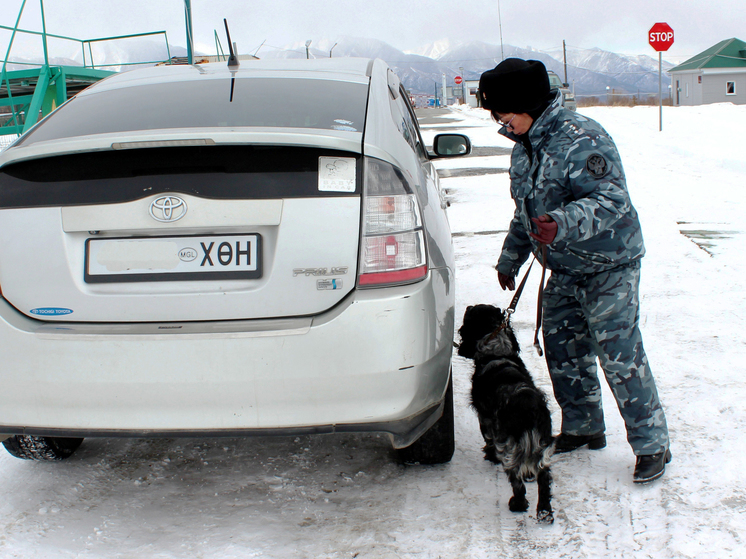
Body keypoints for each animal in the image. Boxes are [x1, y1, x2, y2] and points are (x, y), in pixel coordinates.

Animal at [454, 304, 552, 524]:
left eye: (471, 313)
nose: (468, 306)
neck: (498, 352)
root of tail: (528, 406)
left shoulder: (485, 418)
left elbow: (488, 440)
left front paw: (489, 456)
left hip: (508, 445)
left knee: (516, 480)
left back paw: (517, 504)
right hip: (540, 443)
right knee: (544, 477)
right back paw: (545, 513)